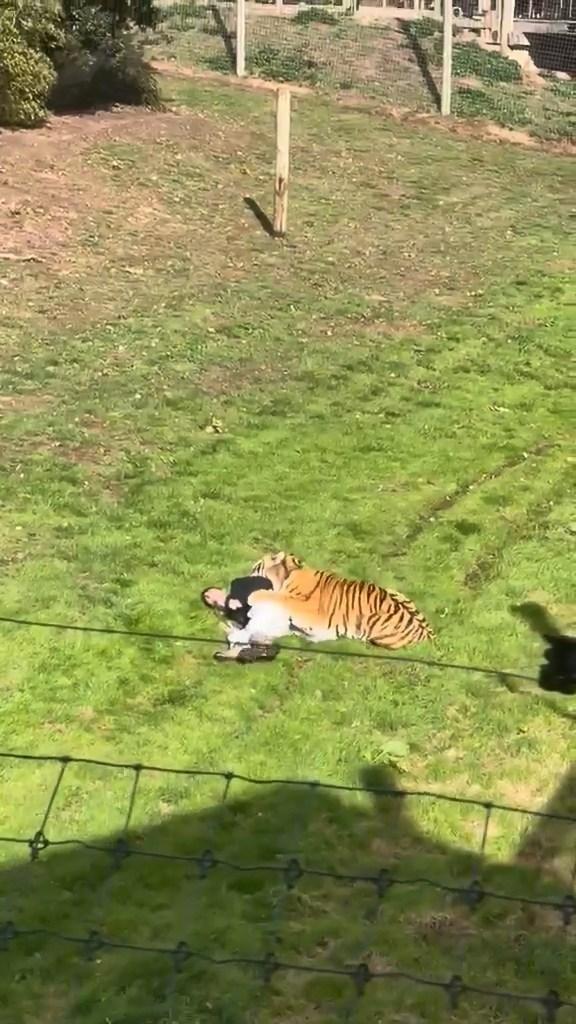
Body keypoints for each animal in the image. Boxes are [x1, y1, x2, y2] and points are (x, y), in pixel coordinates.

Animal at [220, 551, 433, 659]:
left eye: (255, 567)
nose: (242, 579)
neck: (290, 573)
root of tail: (429, 637)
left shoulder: (309, 612)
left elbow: (280, 597)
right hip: (395, 592)